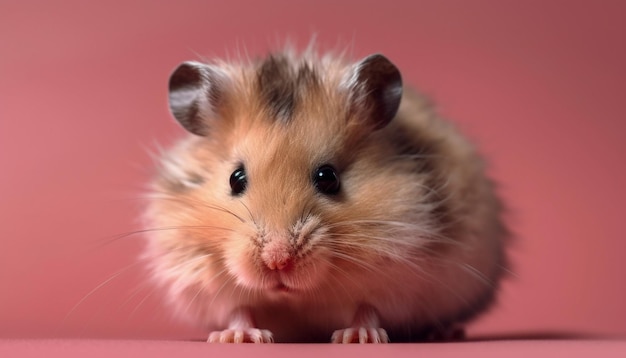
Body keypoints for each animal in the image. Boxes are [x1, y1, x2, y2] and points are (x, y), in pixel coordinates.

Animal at [141, 49, 502, 342]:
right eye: (235, 178)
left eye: (328, 178)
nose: (277, 261)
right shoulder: (196, 273)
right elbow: (237, 309)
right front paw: (235, 338)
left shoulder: (402, 274)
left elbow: (368, 307)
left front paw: (358, 337)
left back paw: (444, 333)